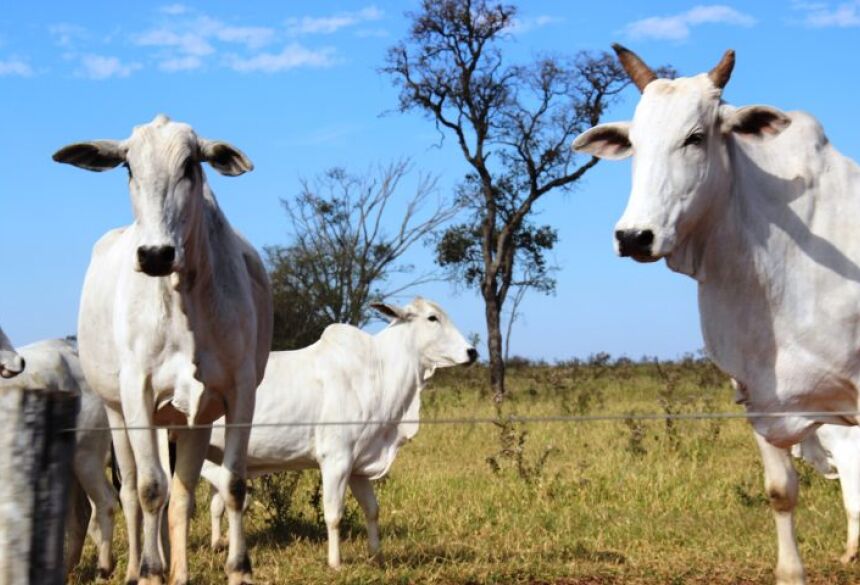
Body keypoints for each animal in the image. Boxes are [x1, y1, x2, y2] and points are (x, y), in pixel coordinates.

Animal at [55, 115, 270, 584]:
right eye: (128, 167)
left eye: (190, 165)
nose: (155, 254)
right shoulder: (139, 391)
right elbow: (150, 489)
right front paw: (151, 571)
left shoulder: (238, 391)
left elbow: (232, 485)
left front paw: (238, 568)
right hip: (119, 416)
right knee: (132, 493)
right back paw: (136, 567)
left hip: (188, 420)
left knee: (180, 494)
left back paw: (178, 570)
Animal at [205, 298, 480, 568]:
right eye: (432, 318)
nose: (472, 352)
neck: (379, 372)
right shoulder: (336, 459)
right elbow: (334, 515)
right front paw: (335, 563)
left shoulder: (359, 464)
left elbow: (372, 510)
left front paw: (377, 557)